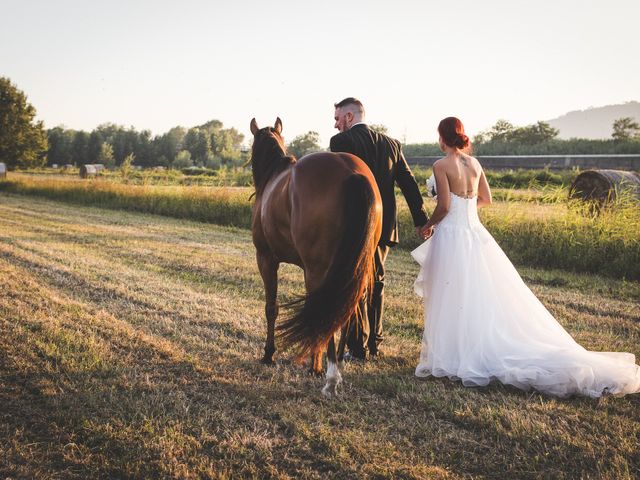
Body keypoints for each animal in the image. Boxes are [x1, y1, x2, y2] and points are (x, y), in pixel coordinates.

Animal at [249, 118, 380, 396]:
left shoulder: (266, 259)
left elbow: (271, 307)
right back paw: (336, 361)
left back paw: (324, 371)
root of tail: (351, 172)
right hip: (356, 268)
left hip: (319, 270)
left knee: (326, 314)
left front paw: (269, 354)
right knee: (346, 310)